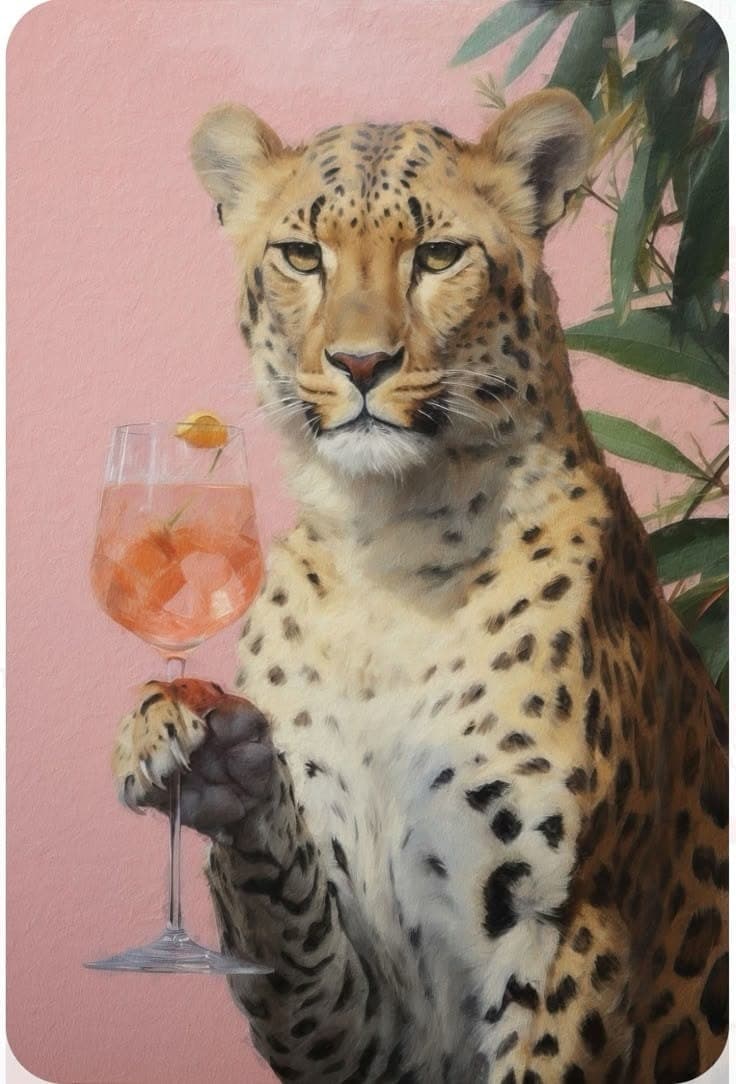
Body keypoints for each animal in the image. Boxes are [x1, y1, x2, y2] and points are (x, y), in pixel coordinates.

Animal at [113, 89, 728, 1083]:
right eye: (302, 255)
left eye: (439, 256)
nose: (362, 364)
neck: (389, 558)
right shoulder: (367, 1030)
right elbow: (283, 914)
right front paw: (205, 751)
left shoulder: (571, 925)